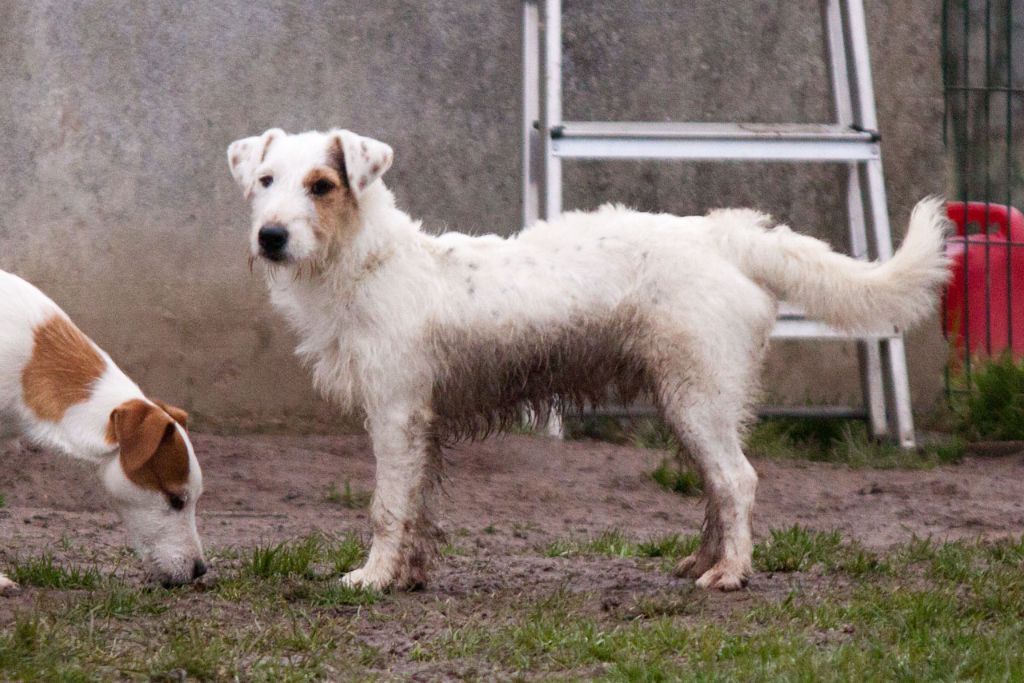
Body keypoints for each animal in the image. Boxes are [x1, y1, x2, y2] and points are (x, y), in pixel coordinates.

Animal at [228, 127, 946, 593]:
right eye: (265, 181)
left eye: (322, 185)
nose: (270, 236)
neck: (369, 261)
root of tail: (722, 235)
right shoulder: (422, 428)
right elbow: (417, 509)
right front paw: (408, 574)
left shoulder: (396, 415)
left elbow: (387, 507)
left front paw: (373, 577)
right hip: (693, 403)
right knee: (717, 485)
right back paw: (700, 561)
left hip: (697, 400)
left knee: (738, 481)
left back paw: (730, 573)